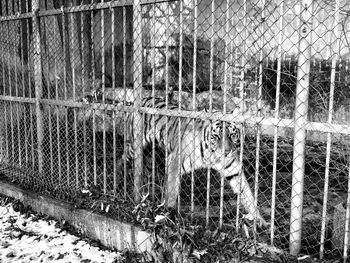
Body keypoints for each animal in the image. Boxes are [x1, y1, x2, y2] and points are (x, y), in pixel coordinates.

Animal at [113, 97, 266, 229]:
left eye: (232, 135)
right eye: (216, 136)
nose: (226, 152)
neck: (212, 156)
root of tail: (143, 98)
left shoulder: (233, 170)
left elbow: (247, 194)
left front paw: (260, 220)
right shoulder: (174, 162)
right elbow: (172, 191)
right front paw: (167, 214)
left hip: (150, 154)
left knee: (145, 172)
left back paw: (146, 194)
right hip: (134, 146)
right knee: (121, 160)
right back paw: (118, 182)